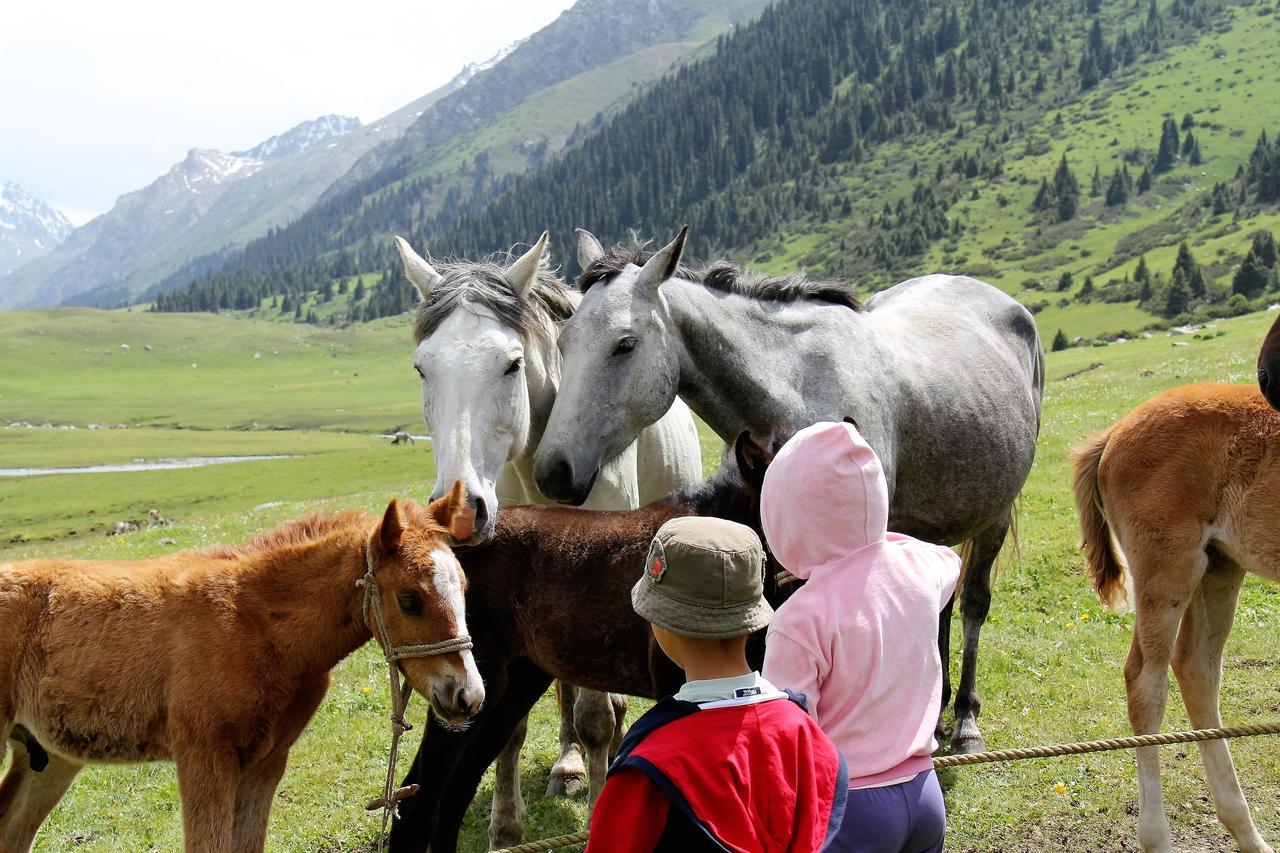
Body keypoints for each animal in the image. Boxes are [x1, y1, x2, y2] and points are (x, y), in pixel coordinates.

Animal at [1, 484, 481, 850]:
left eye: (465, 587)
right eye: (410, 600)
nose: (468, 695)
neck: (255, 621)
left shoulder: (266, 761)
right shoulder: (204, 754)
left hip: (51, 755)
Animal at [394, 230, 706, 845]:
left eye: (512, 364)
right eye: (421, 368)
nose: (459, 513)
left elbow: (595, 718)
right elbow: (511, 725)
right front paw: (504, 829)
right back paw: (567, 766)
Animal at [529, 225, 1039, 753]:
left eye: (625, 344)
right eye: (564, 342)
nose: (553, 470)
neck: (797, 392)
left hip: (995, 515)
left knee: (974, 602)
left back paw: (965, 722)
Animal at [1075, 384, 1274, 850]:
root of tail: (1113, 434)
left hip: (1219, 565)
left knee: (1196, 667)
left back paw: (1247, 832)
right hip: (1168, 569)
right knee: (1146, 682)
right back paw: (1159, 836)